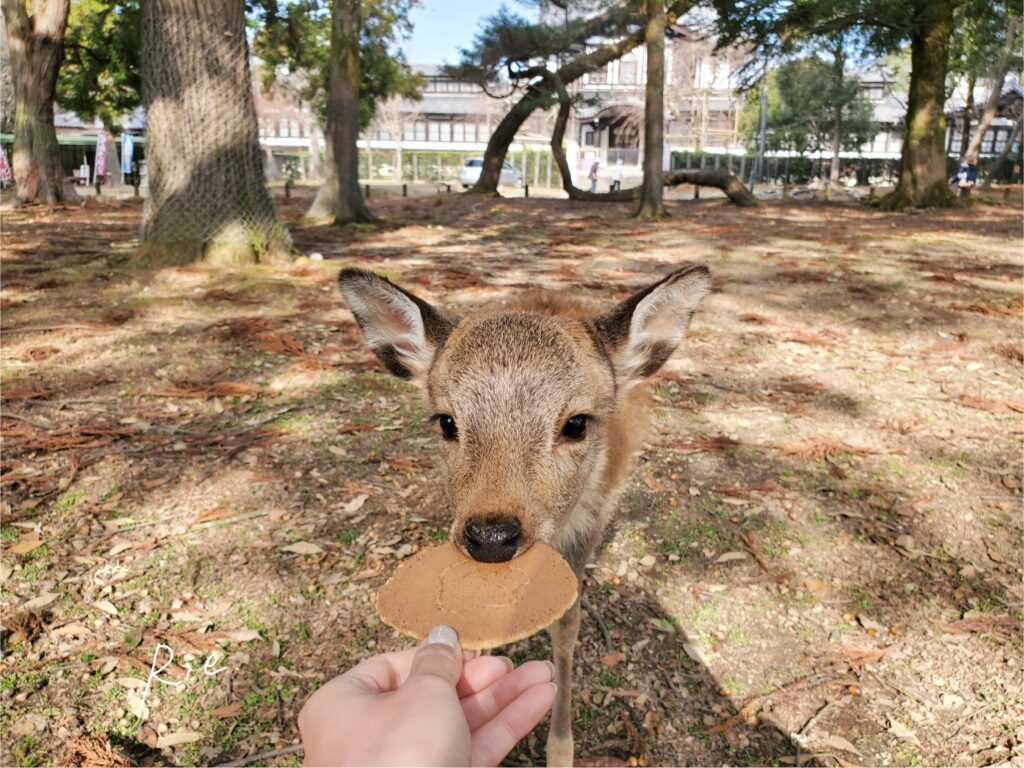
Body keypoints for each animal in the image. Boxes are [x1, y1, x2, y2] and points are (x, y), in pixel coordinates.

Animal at [337, 263, 711, 767]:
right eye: (447, 422)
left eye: (576, 423)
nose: (491, 537)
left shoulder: (587, 525)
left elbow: (567, 625)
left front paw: (561, 748)